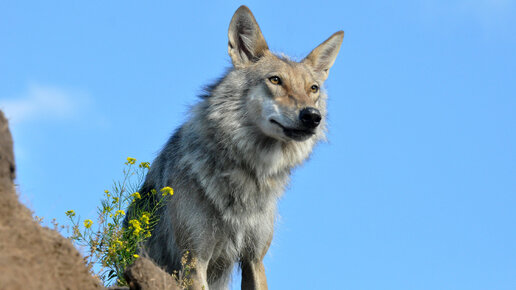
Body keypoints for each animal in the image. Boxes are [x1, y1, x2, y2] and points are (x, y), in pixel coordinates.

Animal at [130, 5, 342, 290]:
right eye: (275, 80)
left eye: (313, 89)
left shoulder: (254, 259)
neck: (248, 171)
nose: (312, 116)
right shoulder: (194, 260)